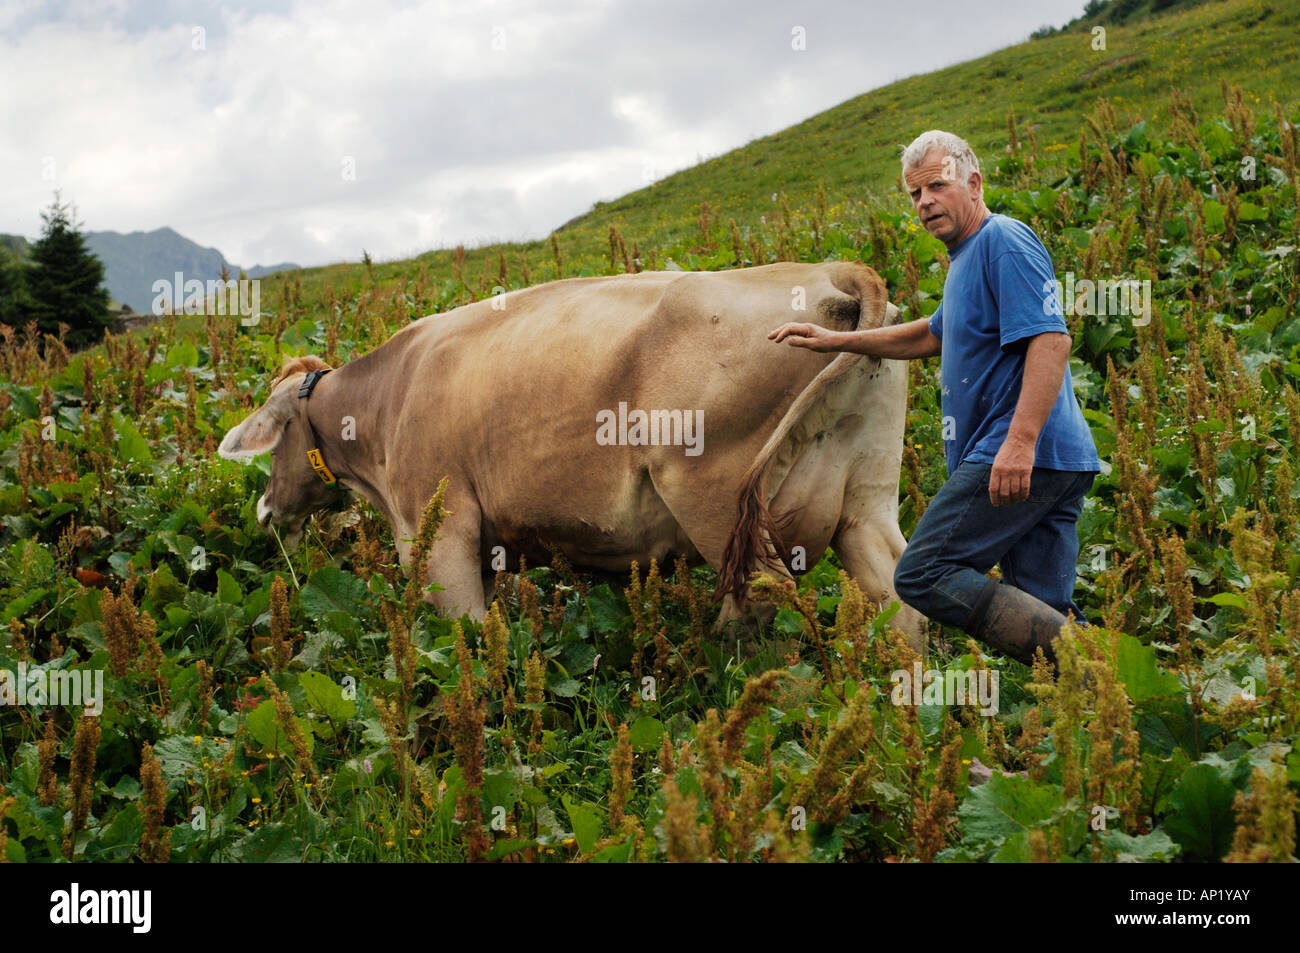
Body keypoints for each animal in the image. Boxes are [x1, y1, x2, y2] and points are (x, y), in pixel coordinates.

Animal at [216, 260, 926, 648]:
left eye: (271, 443)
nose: (264, 511)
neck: (389, 398)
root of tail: (830, 271)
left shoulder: (436, 530)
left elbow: (467, 633)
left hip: (716, 498)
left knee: (764, 598)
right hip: (864, 501)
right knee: (899, 601)